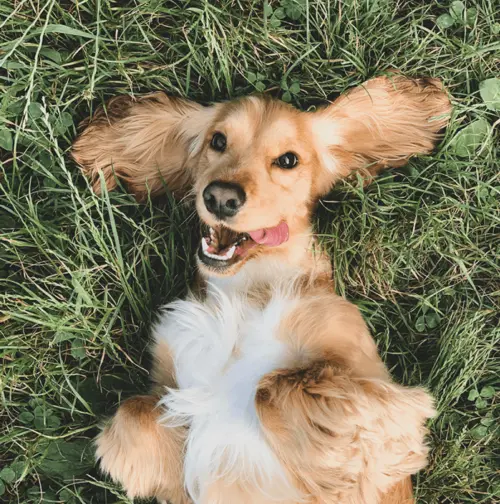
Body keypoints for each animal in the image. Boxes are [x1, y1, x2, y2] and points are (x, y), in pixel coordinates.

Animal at [72, 72, 452, 504]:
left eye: (288, 160)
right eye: (218, 140)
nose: (220, 197)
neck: (246, 289)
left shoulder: (381, 390)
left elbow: (274, 386)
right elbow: (135, 412)